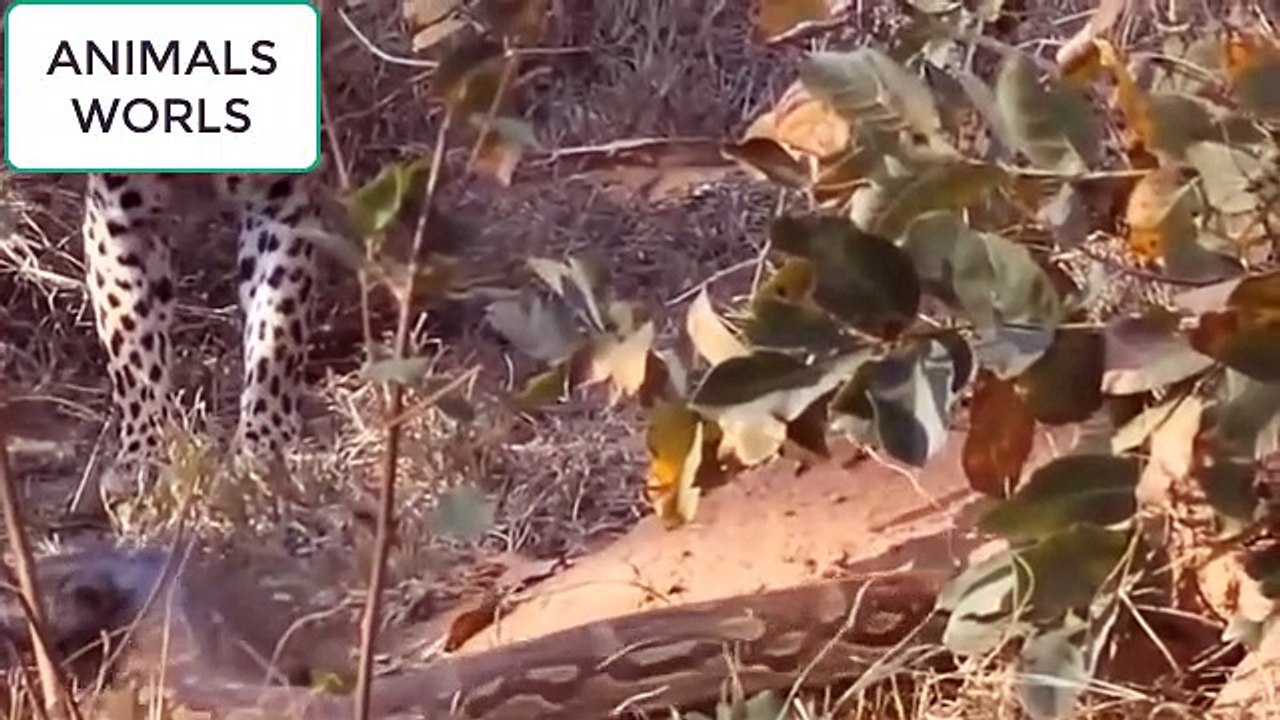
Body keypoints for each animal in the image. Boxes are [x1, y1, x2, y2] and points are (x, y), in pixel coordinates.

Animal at [81, 172, 323, 498]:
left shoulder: (279, 196)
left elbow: (278, 326)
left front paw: (265, 449)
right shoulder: (116, 210)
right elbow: (131, 340)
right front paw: (146, 454)